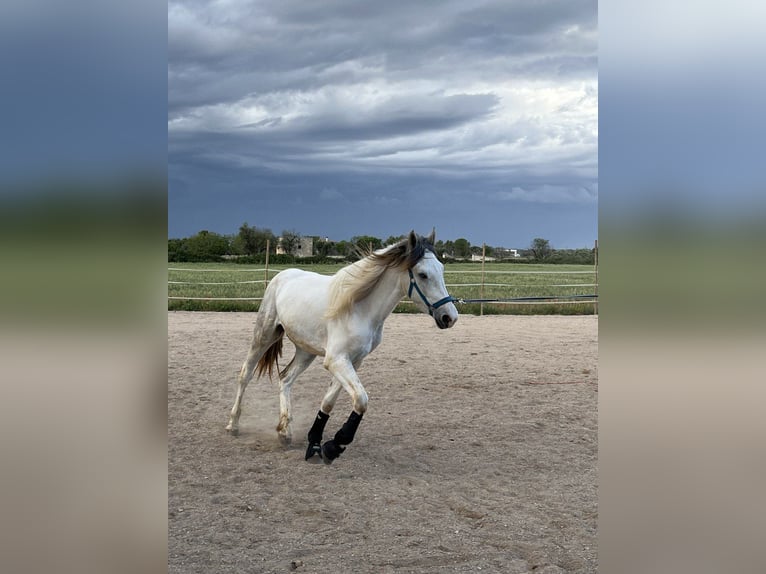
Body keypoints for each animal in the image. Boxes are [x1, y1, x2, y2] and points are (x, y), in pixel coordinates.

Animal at [225, 230, 460, 464]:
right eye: (422, 274)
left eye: (441, 269)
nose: (449, 317)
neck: (359, 308)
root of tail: (283, 275)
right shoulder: (337, 360)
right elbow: (361, 400)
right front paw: (335, 445)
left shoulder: (353, 360)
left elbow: (329, 401)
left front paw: (317, 443)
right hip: (264, 335)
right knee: (245, 374)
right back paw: (233, 425)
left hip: (305, 351)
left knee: (285, 379)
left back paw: (285, 432)